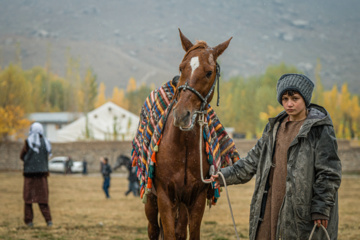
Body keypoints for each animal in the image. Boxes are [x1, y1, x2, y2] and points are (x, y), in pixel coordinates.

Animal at [145, 30, 232, 240]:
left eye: (209, 72)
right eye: (181, 67)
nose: (181, 115)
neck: (182, 145)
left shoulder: (196, 197)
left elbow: (190, 233)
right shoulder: (164, 196)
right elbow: (168, 233)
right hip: (151, 200)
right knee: (153, 229)